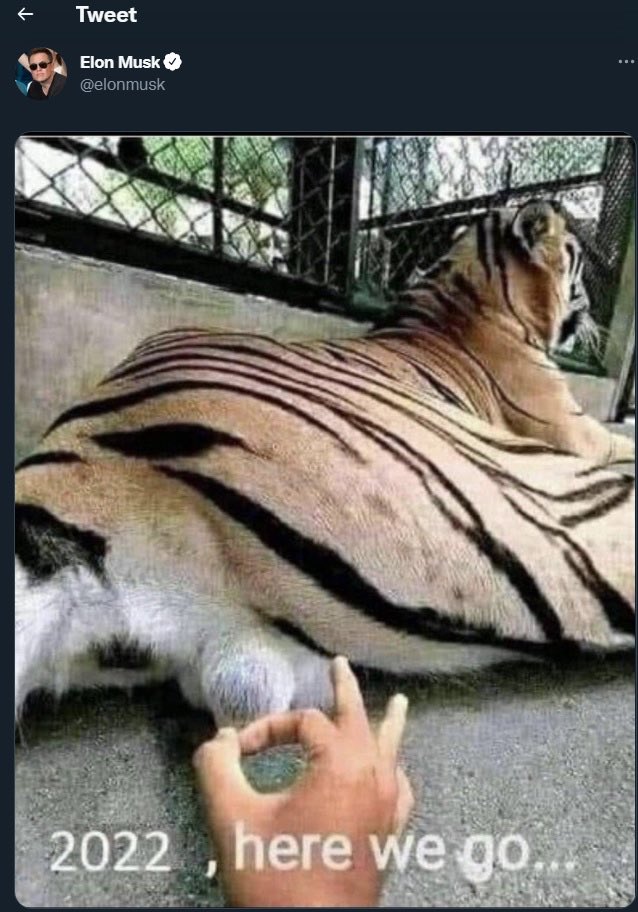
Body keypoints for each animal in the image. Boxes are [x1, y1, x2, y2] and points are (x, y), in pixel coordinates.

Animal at [15, 199, 635, 726]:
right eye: (579, 256)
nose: (593, 312)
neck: (469, 288)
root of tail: (70, 450)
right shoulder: (576, 434)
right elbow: (619, 438)